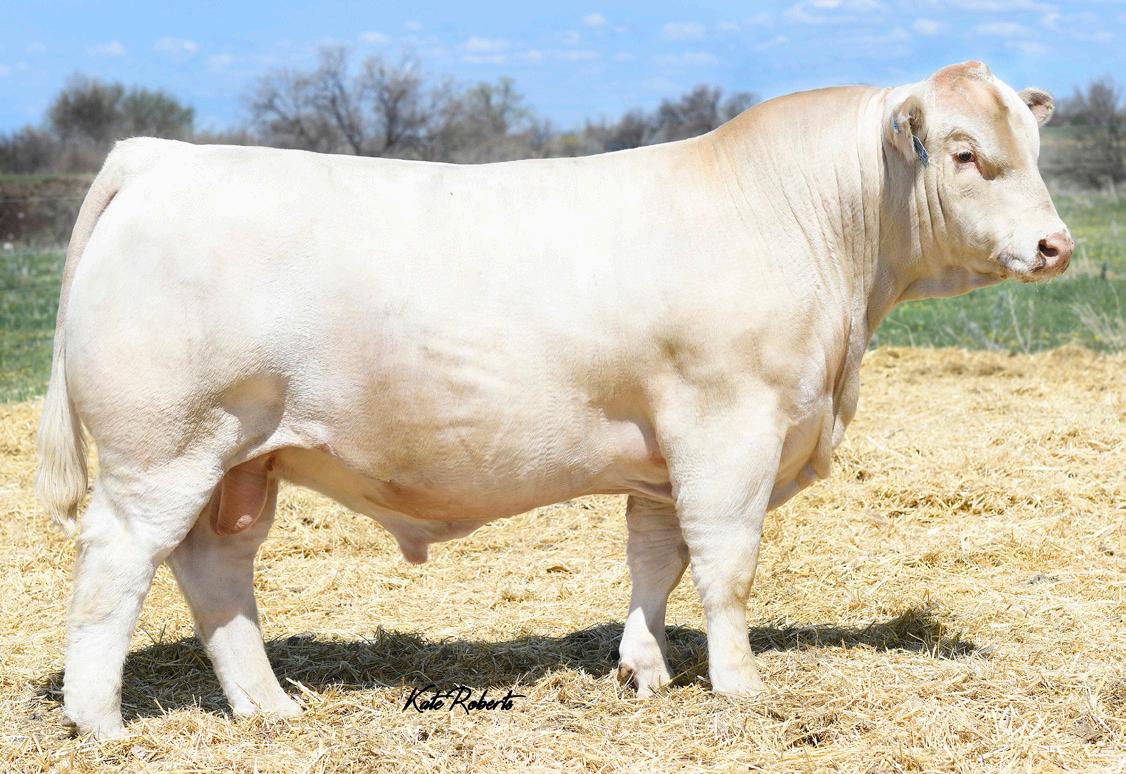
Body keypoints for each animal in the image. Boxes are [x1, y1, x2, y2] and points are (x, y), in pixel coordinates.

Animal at [36, 61, 1071, 738]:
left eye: (1032, 145)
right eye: (966, 154)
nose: (1056, 245)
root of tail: (159, 156)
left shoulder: (662, 453)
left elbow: (655, 561)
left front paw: (645, 672)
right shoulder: (728, 429)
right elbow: (726, 566)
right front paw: (739, 686)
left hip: (240, 461)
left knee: (215, 570)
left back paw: (270, 706)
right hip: (163, 450)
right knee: (115, 566)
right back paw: (103, 723)